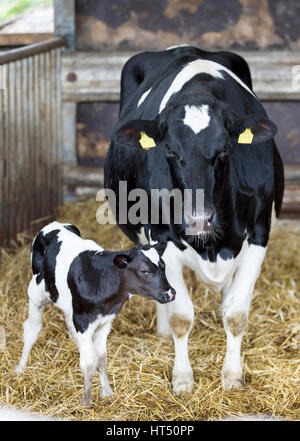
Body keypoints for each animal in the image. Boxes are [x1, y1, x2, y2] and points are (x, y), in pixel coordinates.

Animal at [15, 222, 176, 404]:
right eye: (144, 271)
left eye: (164, 266)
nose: (170, 293)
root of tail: (53, 224)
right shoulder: (82, 322)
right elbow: (89, 362)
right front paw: (86, 401)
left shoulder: (105, 321)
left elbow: (101, 358)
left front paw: (107, 392)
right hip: (36, 293)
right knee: (31, 330)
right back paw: (21, 368)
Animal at [104, 46, 284, 394]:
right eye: (171, 151)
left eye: (224, 149)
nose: (200, 218)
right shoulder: (163, 238)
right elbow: (181, 317)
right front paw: (183, 379)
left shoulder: (259, 232)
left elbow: (236, 313)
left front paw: (232, 376)